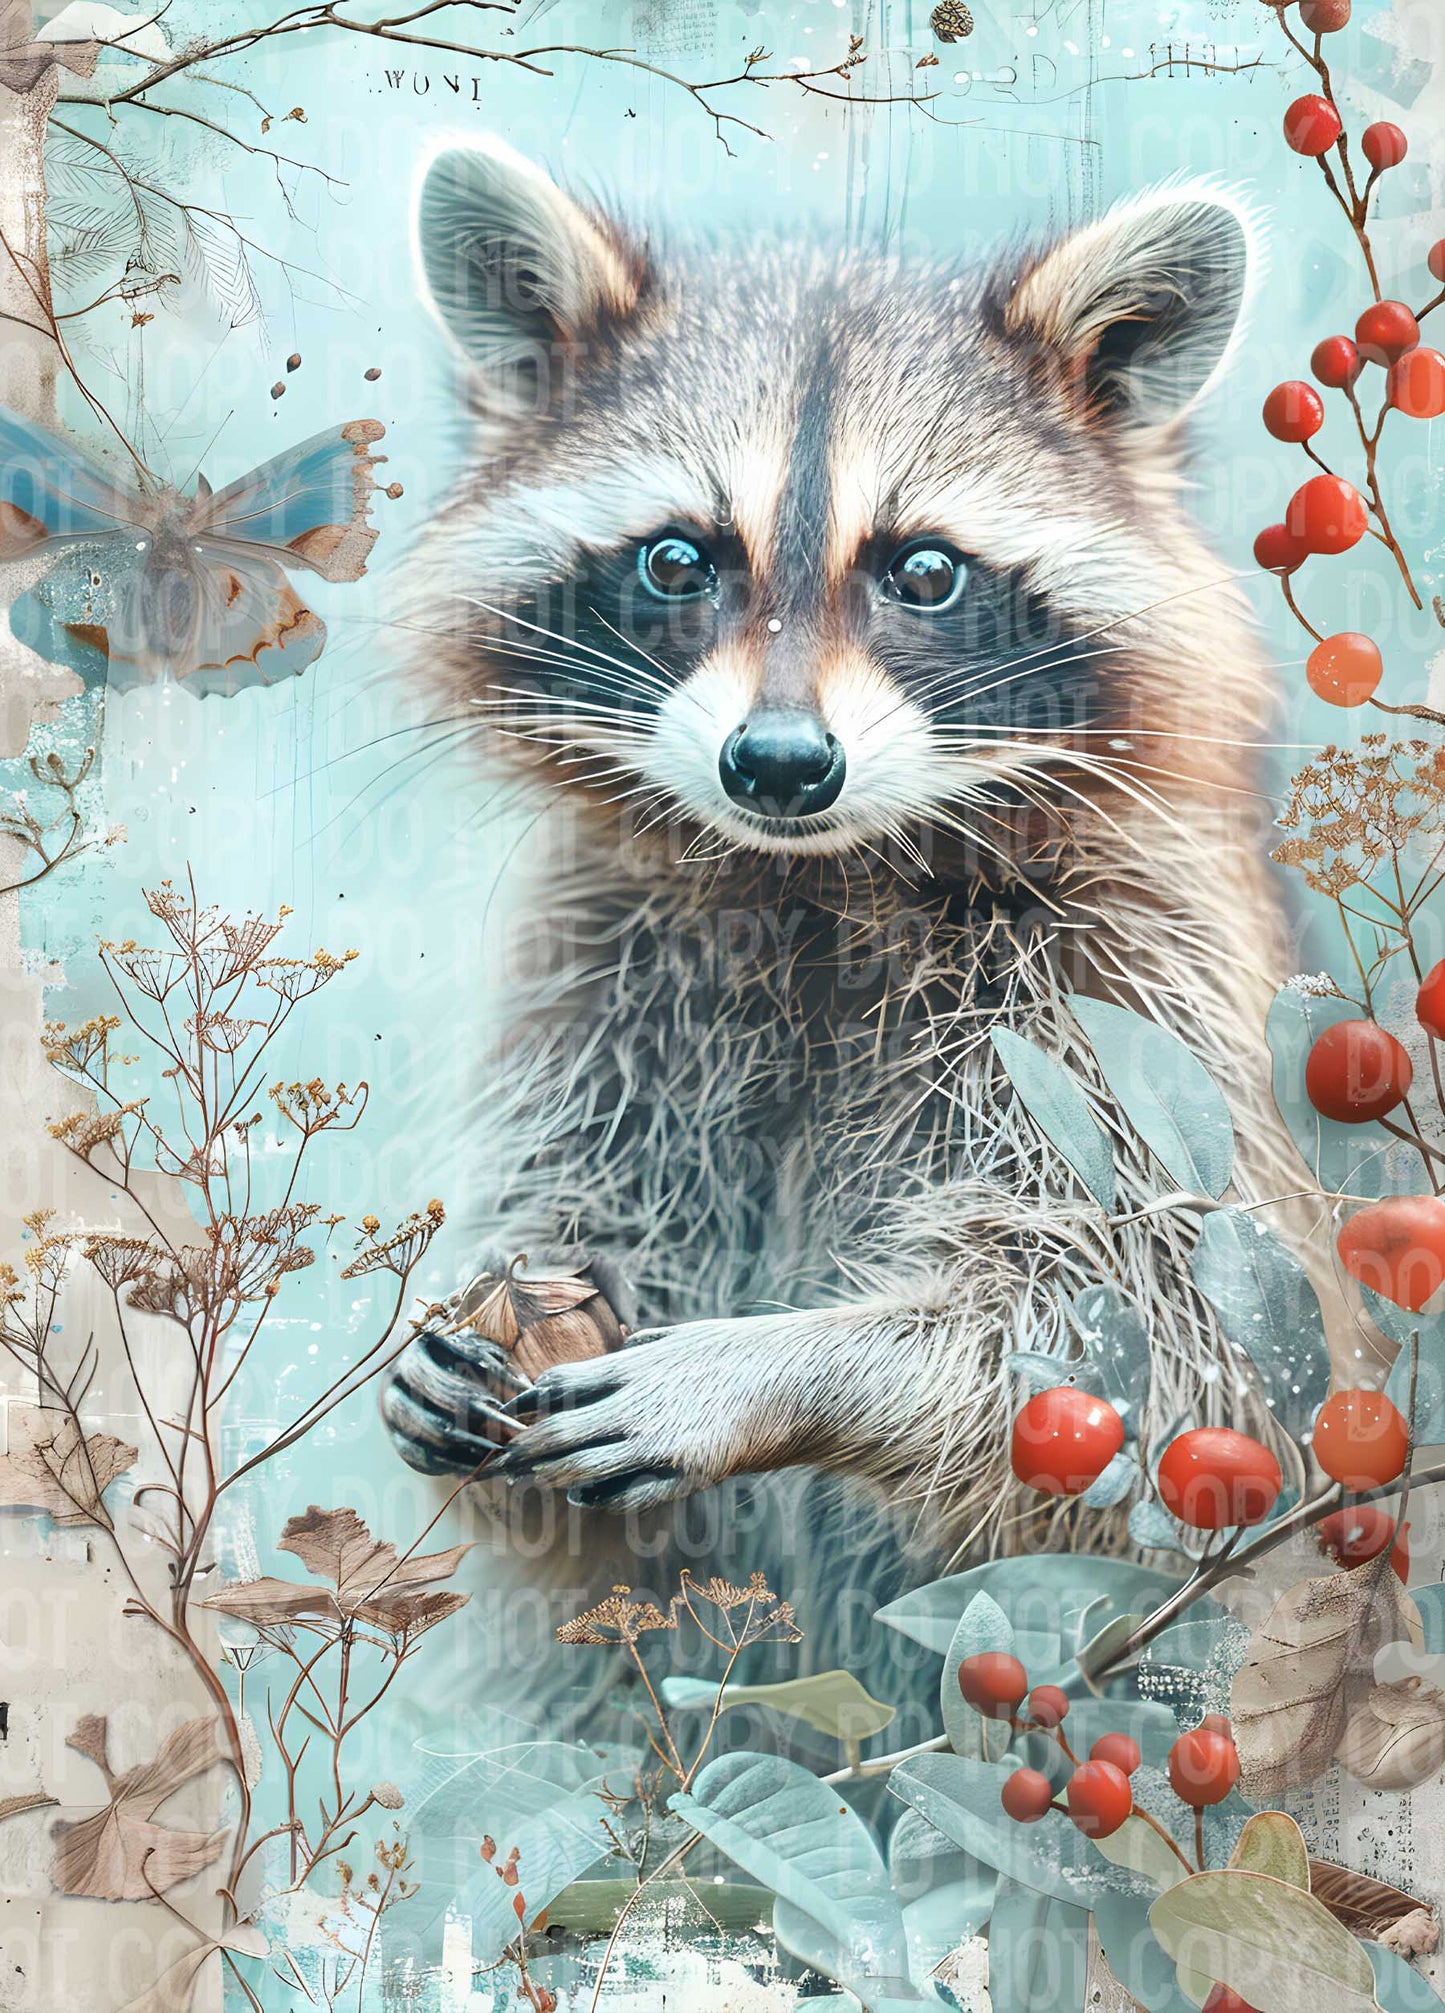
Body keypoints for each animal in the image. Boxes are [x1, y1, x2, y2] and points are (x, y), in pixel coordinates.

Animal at [383, 140, 1318, 1607]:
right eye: (676, 557)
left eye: (922, 569)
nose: (776, 764)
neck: (813, 882)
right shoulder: (605, 954)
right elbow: (583, 1192)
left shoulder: (1127, 975)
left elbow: (1166, 1347)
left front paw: (787, 1365)